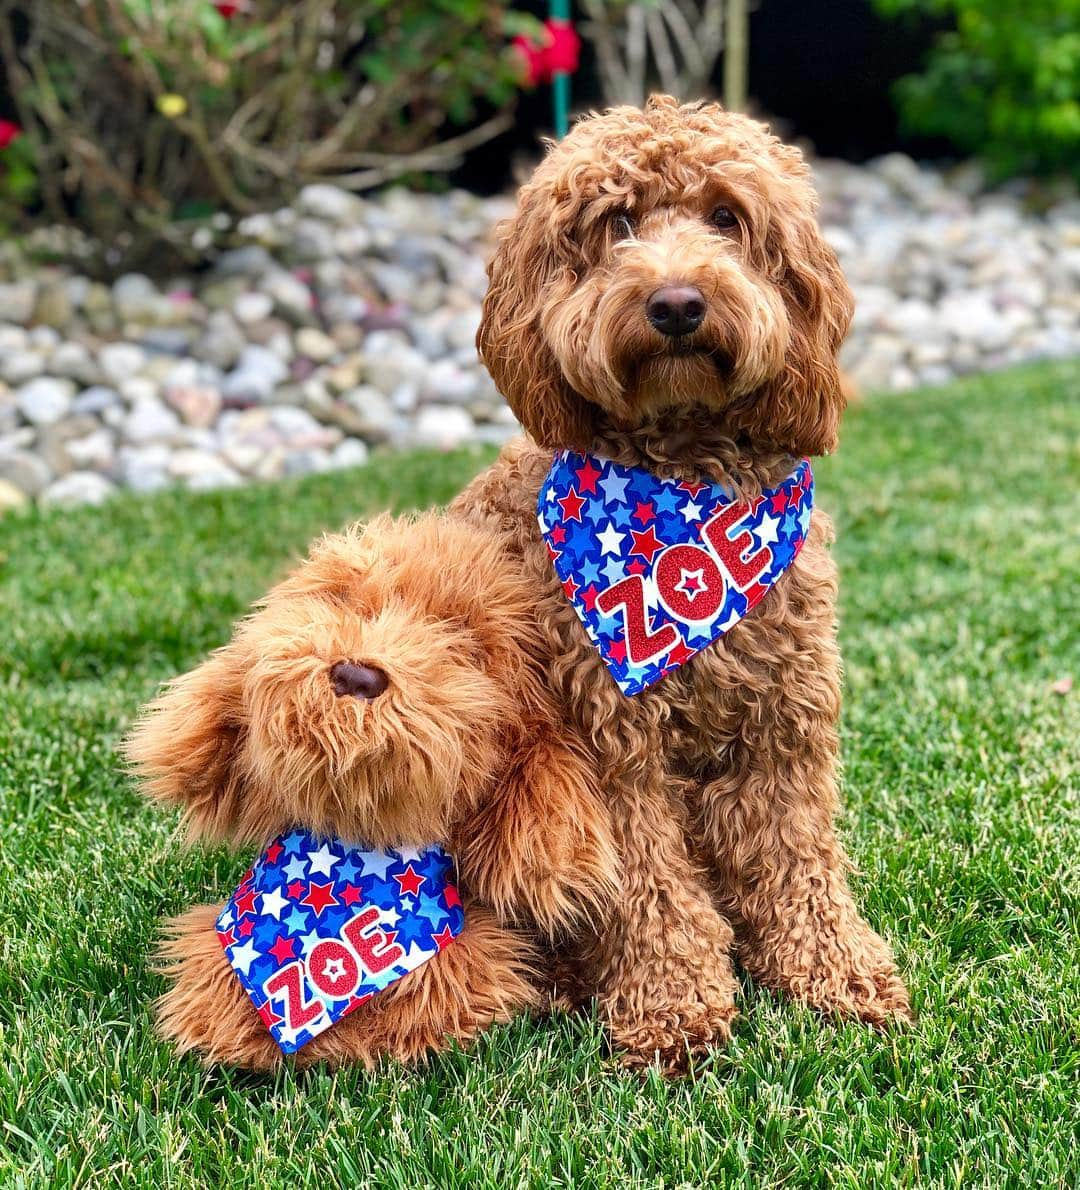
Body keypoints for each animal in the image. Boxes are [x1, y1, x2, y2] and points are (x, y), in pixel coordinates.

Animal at [447, 97, 913, 1075]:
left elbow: (799, 861)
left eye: (726, 218)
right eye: (616, 225)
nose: (676, 303)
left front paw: (836, 972)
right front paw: (672, 1010)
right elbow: (649, 890)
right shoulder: (609, 750)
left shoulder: (783, 729)